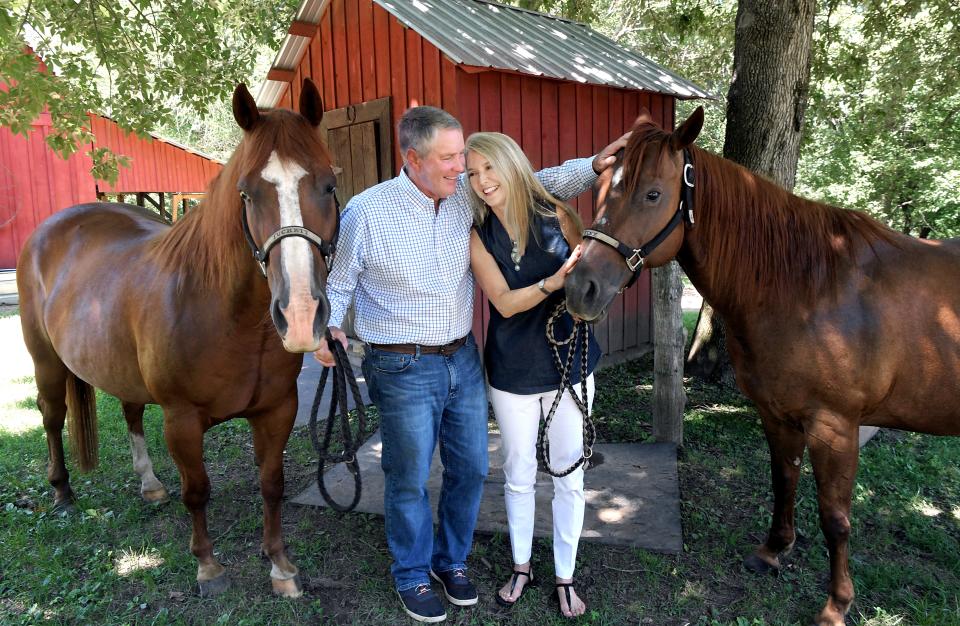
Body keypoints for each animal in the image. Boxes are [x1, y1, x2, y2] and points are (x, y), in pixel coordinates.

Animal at [16, 80, 340, 596]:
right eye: (247, 193)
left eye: (329, 184)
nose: (301, 313)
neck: (224, 315)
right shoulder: (181, 420)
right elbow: (197, 490)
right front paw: (208, 567)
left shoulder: (277, 410)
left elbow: (272, 483)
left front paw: (280, 566)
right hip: (45, 362)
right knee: (51, 417)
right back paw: (62, 492)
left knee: (130, 412)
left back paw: (149, 484)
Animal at [568, 107, 960, 624]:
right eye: (599, 190)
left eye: (652, 193)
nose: (580, 288)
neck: (807, 287)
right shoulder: (777, 414)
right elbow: (784, 480)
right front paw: (774, 551)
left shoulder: (836, 428)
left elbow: (835, 518)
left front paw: (837, 604)